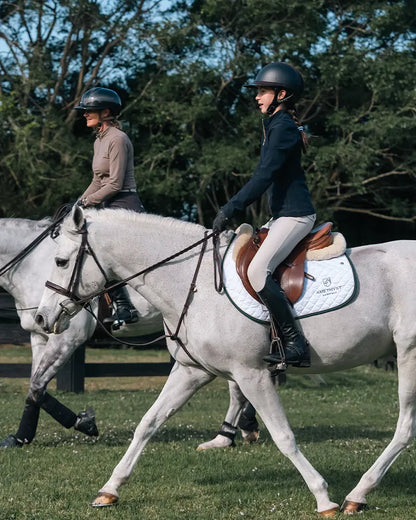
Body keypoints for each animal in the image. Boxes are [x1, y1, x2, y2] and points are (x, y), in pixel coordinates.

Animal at [0, 215, 162, 446]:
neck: (32, 266)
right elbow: (35, 385)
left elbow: (37, 385)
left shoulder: (65, 339)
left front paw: (84, 423)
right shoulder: (39, 335)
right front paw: (21, 437)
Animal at [35, 205, 416, 512]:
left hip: (409, 355)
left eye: (60, 261)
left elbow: (283, 436)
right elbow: (148, 423)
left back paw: (357, 494)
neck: (195, 282)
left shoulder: (252, 374)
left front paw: (323, 498)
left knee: (405, 428)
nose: (40, 318)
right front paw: (110, 489)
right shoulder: (191, 371)